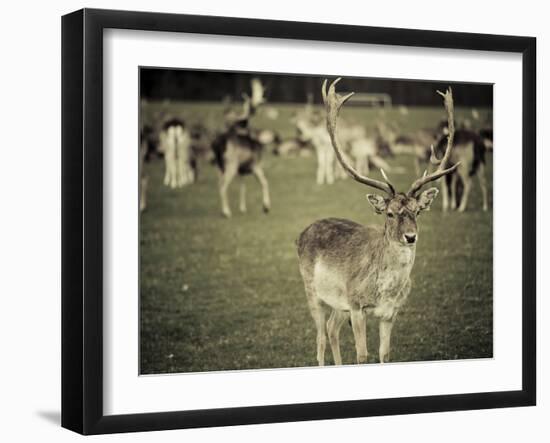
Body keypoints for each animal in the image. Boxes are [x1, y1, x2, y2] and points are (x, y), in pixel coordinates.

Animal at [211, 80, 272, 220]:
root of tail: (217, 144)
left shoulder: (242, 171)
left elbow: (242, 186)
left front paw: (243, 208)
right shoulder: (255, 165)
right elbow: (264, 182)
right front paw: (266, 207)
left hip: (219, 166)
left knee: (218, 184)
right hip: (231, 164)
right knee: (223, 186)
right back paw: (226, 212)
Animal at [300, 78, 460, 366]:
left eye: (417, 212)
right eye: (389, 213)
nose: (410, 236)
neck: (385, 291)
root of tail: (301, 234)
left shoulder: (390, 312)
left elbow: (385, 354)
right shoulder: (356, 305)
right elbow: (362, 356)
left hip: (338, 303)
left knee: (331, 329)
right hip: (313, 292)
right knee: (319, 337)